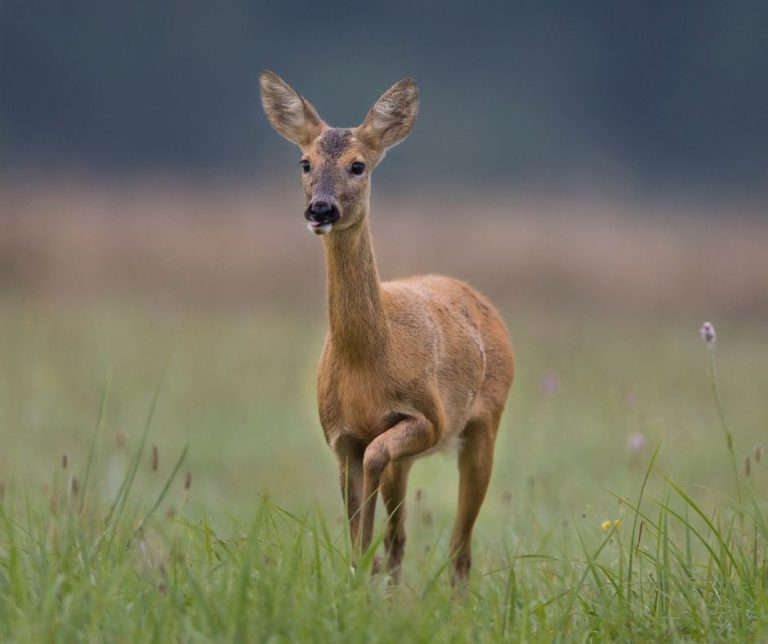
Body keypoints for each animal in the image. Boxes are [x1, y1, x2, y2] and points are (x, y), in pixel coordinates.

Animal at [259, 71, 514, 585]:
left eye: (358, 165)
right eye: (305, 162)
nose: (321, 209)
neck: (370, 361)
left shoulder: (429, 418)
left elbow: (378, 460)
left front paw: (366, 561)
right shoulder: (340, 438)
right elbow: (362, 524)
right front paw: (359, 572)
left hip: (484, 425)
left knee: (460, 549)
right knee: (403, 539)